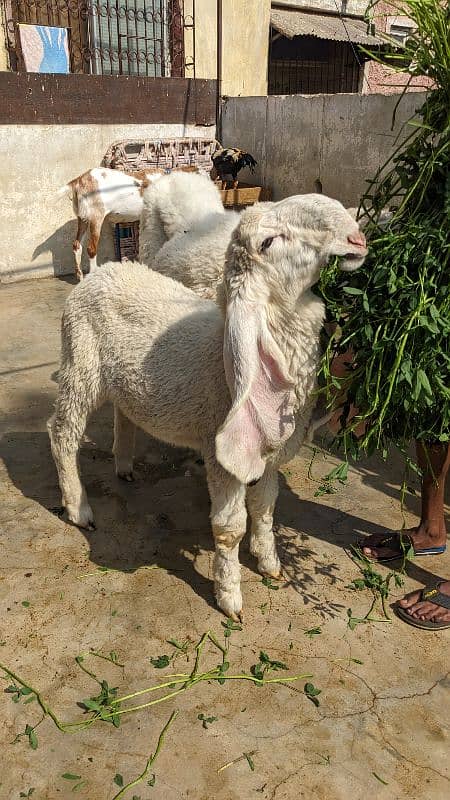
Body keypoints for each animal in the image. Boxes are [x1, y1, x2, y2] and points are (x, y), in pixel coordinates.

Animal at [48, 194, 366, 620]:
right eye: (268, 242)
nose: (355, 235)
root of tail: (105, 271)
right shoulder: (222, 458)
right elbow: (230, 529)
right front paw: (230, 596)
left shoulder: (268, 454)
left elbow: (265, 508)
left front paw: (270, 563)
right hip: (80, 362)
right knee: (62, 432)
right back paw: (78, 508)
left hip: (116, 379)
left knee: (123, 411)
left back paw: (124, 464)